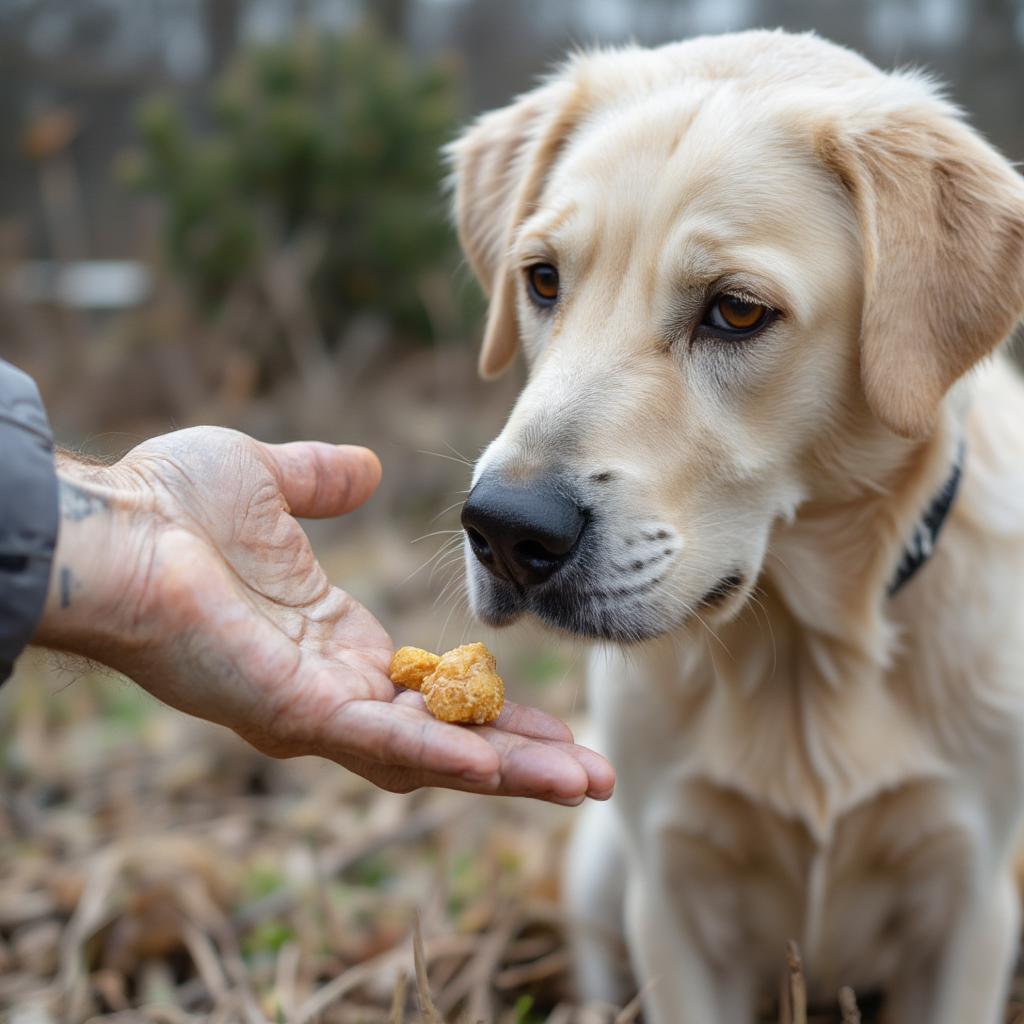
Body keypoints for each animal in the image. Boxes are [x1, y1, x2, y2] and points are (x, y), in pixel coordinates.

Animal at [446, 28, 1024, 1019]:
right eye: (543, 279)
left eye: (738, 310)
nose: (505, 531)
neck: (803, 656)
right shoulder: (670, 896)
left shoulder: (972, 903)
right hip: (601, 867)